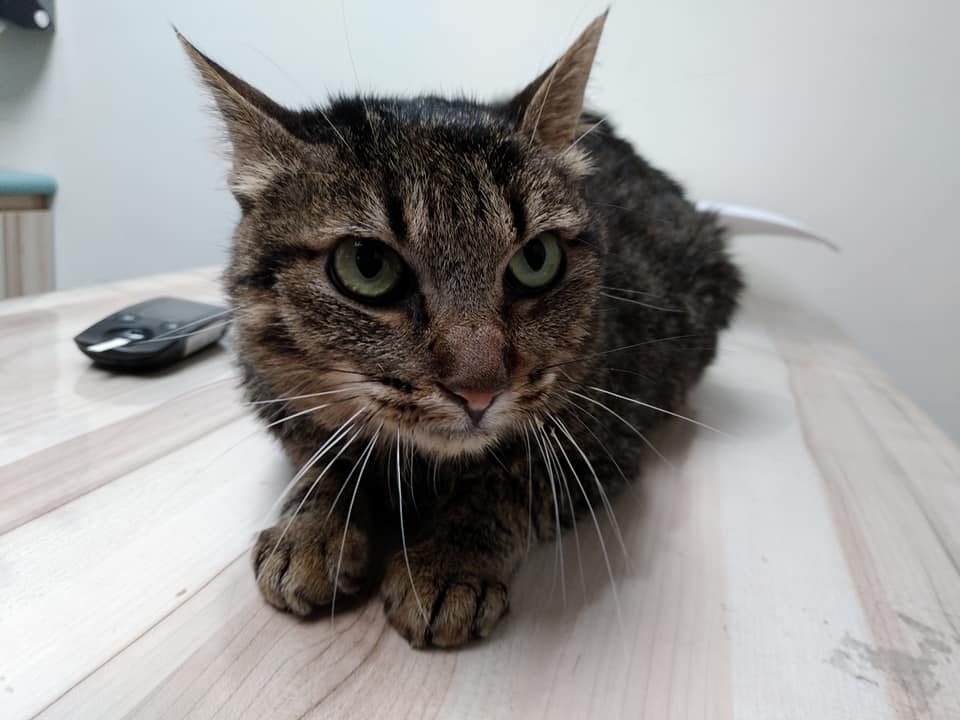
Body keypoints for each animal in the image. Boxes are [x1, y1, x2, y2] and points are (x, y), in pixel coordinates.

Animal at [179, 12, 741, 648]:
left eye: (537, 259)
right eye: (366, 266)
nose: (479, 390)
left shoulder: (606, 441)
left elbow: (508, 478)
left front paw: (449, 559)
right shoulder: (278, 399)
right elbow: (323, 460)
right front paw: (312, 528)